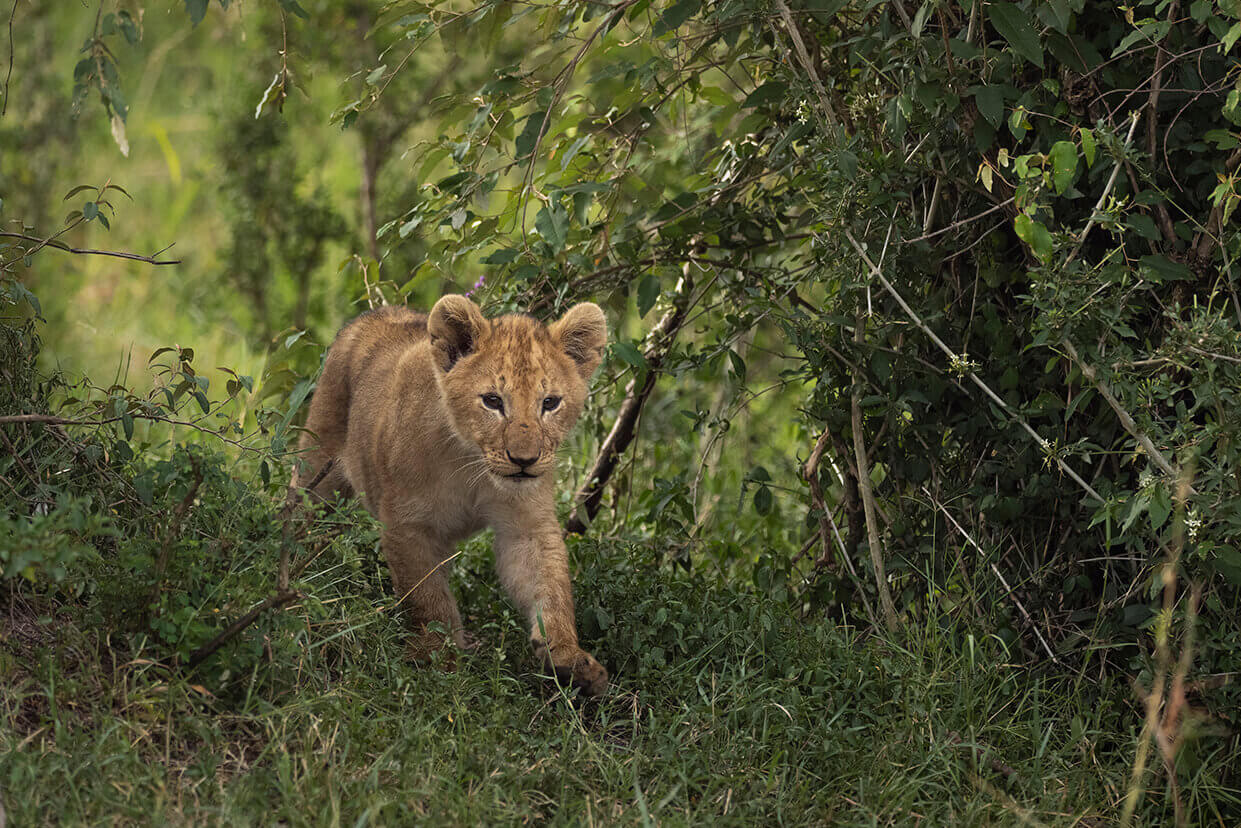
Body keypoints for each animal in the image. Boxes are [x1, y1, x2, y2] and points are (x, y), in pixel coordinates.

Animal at [293, 295, 609, 696]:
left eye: (550, 402)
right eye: (492, 401)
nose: (524, 461)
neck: (471, 464)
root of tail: (374, 312)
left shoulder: (527, 525)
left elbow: (549, 587)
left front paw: (569, 659)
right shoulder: (407, 525)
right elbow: (428, 599)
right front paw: (437, 662)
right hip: (318, 466)